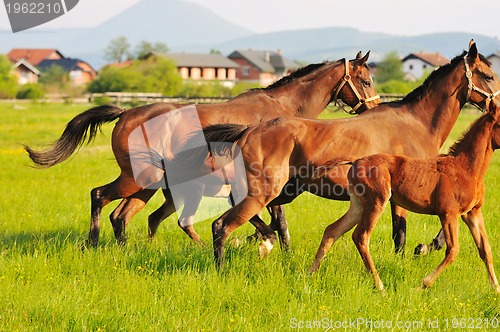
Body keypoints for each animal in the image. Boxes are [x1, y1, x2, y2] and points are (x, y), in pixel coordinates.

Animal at [22, 52, 376, 246]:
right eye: (367, 81)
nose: (372, 109)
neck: (282, 110)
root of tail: (125, 113)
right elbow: (276, 222)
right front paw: (260, 243)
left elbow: (274, 221)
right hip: (137, 178)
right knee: (100, 197)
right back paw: (93, 243)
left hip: (148, 184)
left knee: (121, 215)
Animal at [192, 40, 500, 268]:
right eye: (488, 76)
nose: (498, 107)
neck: (416, 123)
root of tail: (250, 130)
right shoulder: (408, 197)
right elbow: (401, 234)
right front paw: (419, 250)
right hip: (262, 192)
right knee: (223, 224)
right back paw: (225, 266)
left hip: (280, 192)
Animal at [308, 98, 500, 290]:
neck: (466, 169)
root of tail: (356, 160)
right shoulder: (448, 213)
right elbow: (453, 250)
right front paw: (423, 284)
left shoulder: (473, 213)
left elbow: (485, 249)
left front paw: (495, 289)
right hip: (377, 202)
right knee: (361, 236)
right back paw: (380, 285)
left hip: (359, 205)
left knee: (332, 230)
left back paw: (311, 273)